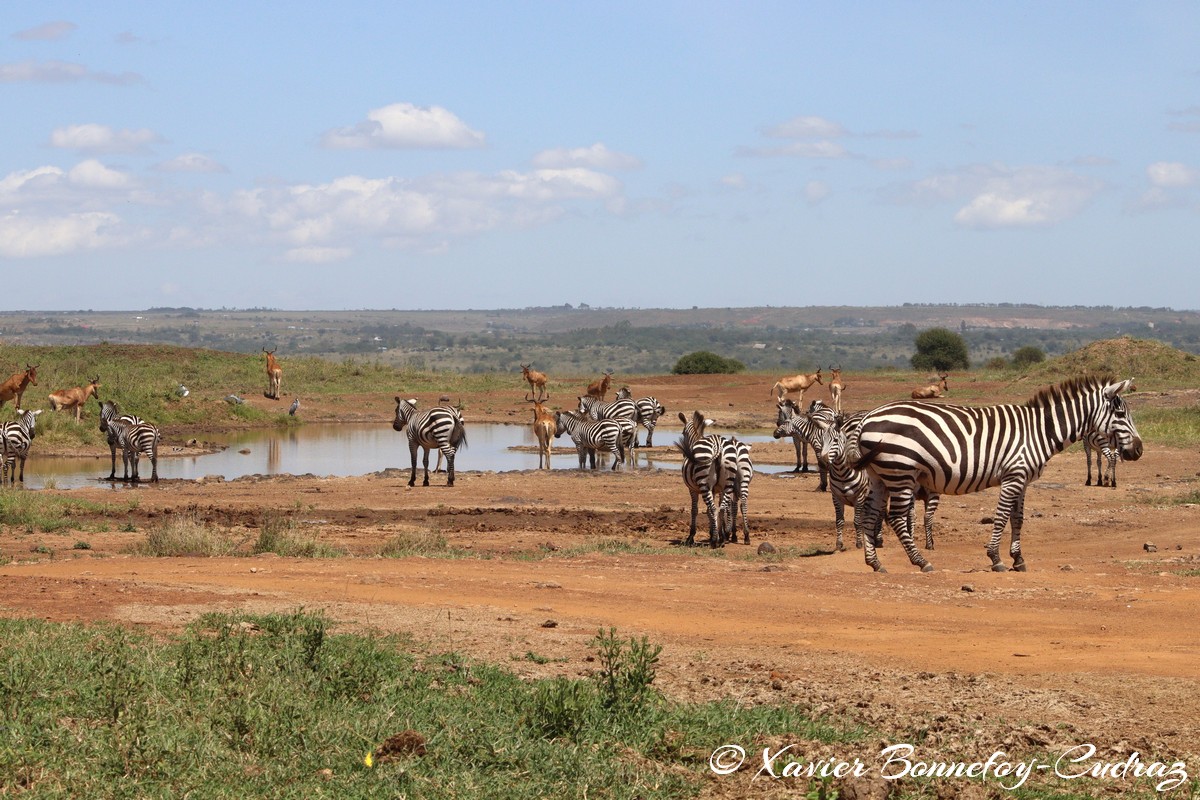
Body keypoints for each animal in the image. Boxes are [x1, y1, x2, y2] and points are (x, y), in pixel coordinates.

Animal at [849, 371, 1137, 573]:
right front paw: (996, 558)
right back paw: (921, 561)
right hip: (901, 471)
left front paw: (1018, 559)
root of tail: (866, 419)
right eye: (1120, 414)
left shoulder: (1022, 479)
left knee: (870, 514)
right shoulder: (1013, 476)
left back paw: (875, 563)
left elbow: (1017, 519)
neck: (1040, 431)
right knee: (896, 518)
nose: (1138, 451)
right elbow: (1000, 518)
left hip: (880, 476)